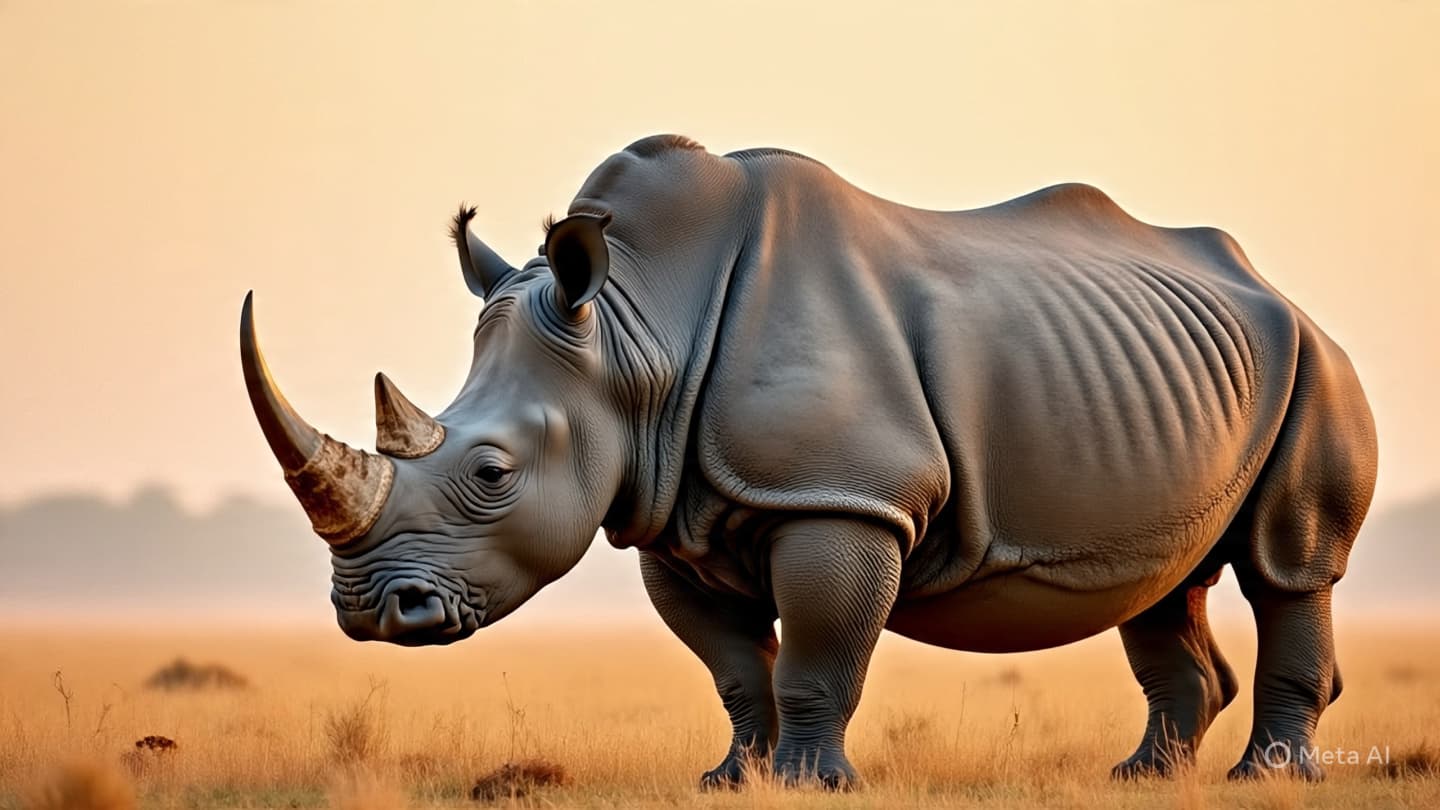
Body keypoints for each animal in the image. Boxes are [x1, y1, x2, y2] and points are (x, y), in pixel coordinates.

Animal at [240, 135, 1377, 787]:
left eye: (491, 473)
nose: (371, 614)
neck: (634, 328)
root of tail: (1274, 286)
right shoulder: (671, 515)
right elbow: (738, 669)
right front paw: (730, 781)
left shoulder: (843, 497)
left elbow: (821, 653)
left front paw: (808, 785)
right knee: (1162, 581)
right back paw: (1138, 778)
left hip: (1319, 363)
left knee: (1288, 568)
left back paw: (1265, 778)